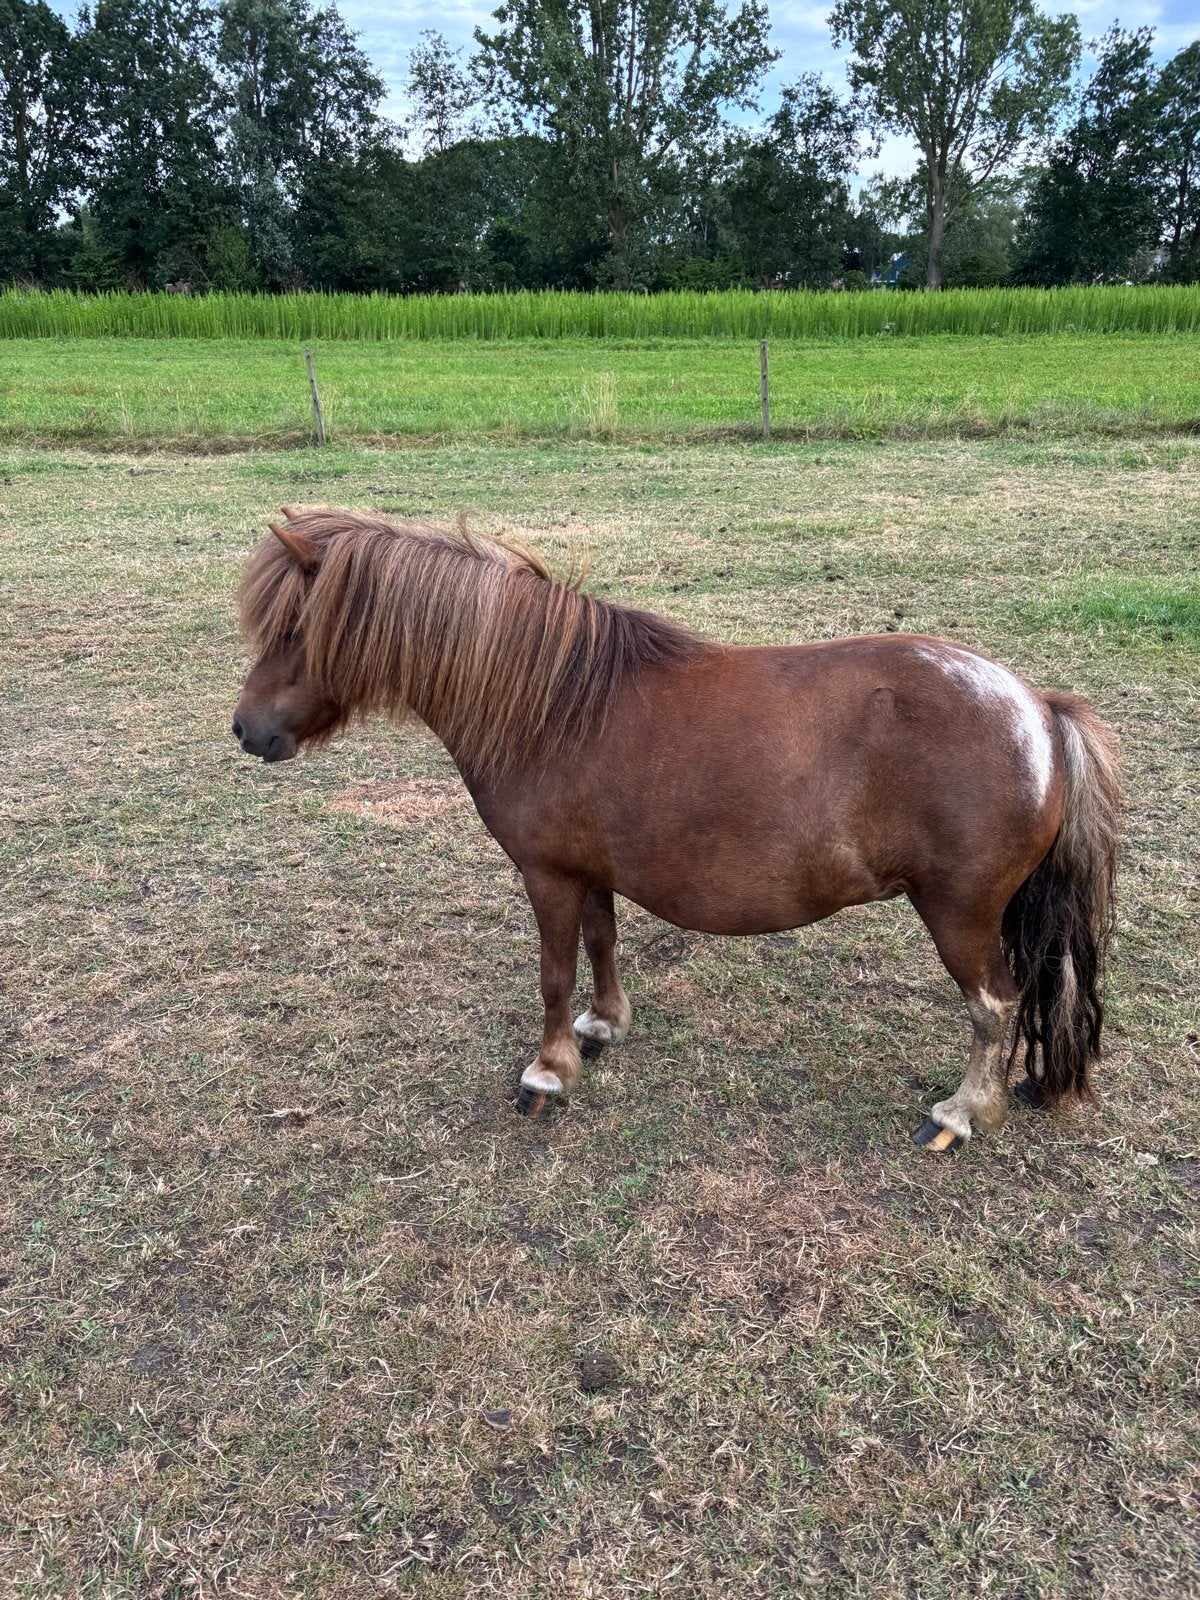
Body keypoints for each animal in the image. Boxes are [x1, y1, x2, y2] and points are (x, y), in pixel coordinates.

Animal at [231, 509, 1120, 1152]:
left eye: (294, 630)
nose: (246, 730)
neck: (550, 704)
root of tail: (1037, 708)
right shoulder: (588, 872)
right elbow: (601, 945)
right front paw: (602, 1027)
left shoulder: (547, 875)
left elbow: (553, 973)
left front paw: (547, 1073)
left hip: (960, 913)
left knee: (994, 1006)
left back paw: (963, 1114)